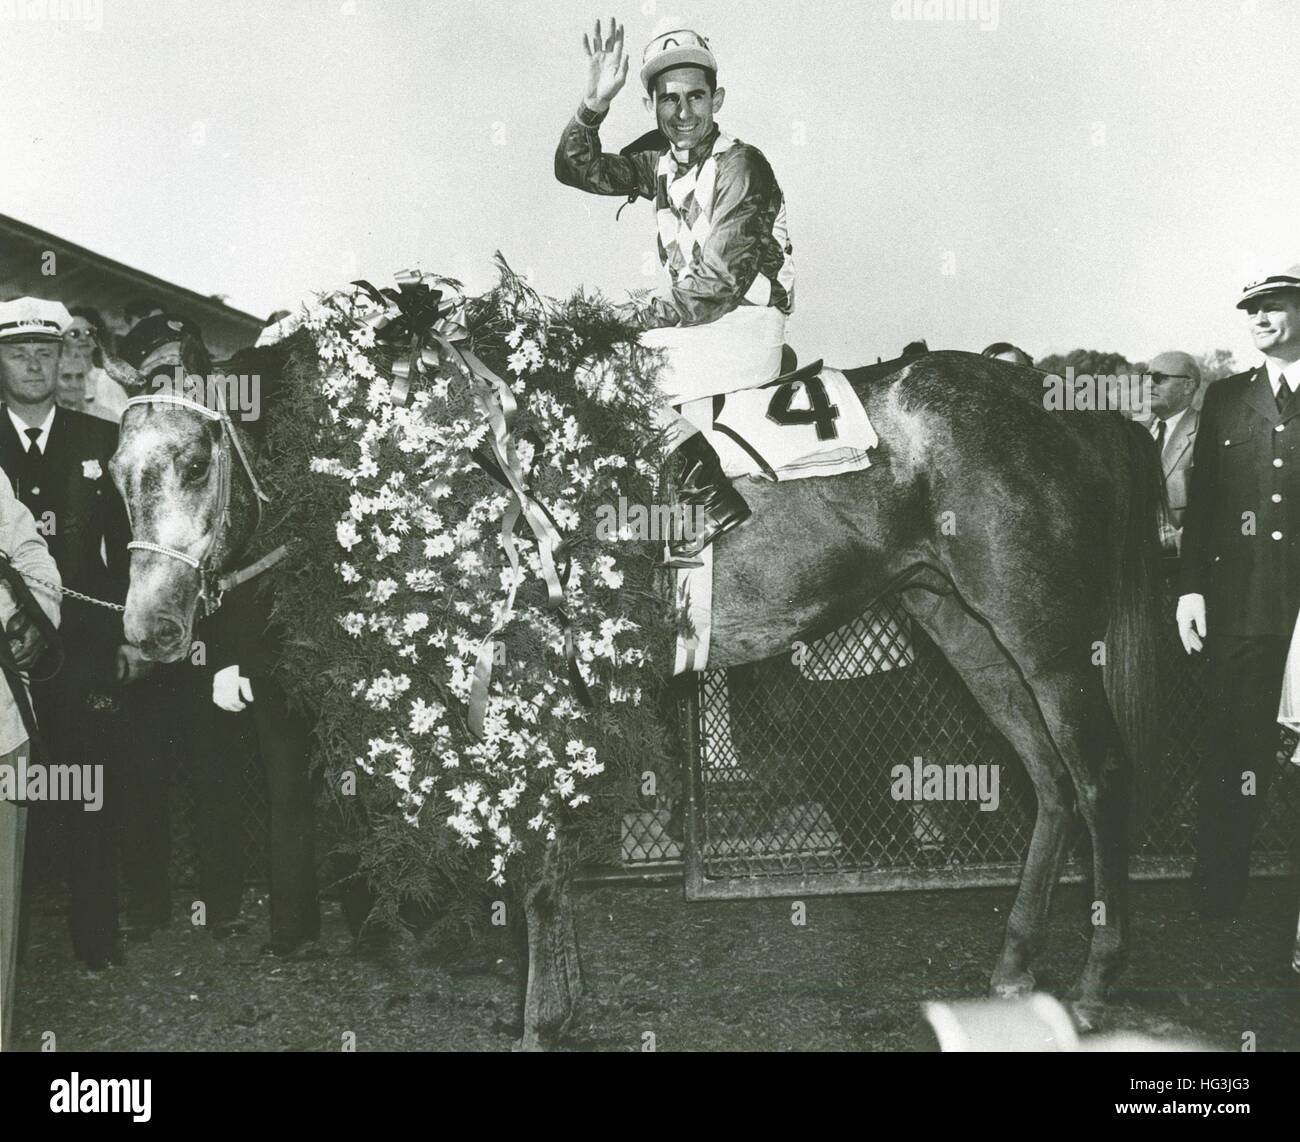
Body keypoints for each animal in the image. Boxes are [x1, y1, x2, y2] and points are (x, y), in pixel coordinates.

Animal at [109, 319, 1159, 1045]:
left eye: (195, 461)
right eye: (115, 471)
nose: (149, 629)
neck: (438, 464)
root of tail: (1056, 398)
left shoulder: (528, 691)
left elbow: (537, 869)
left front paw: (539, 1021)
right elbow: (551, 866)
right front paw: (561, 1009)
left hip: (1042, 636)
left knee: (1100, 774)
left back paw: (1098, 979)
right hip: (959, 623)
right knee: (1047, 778)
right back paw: (1014, 968)